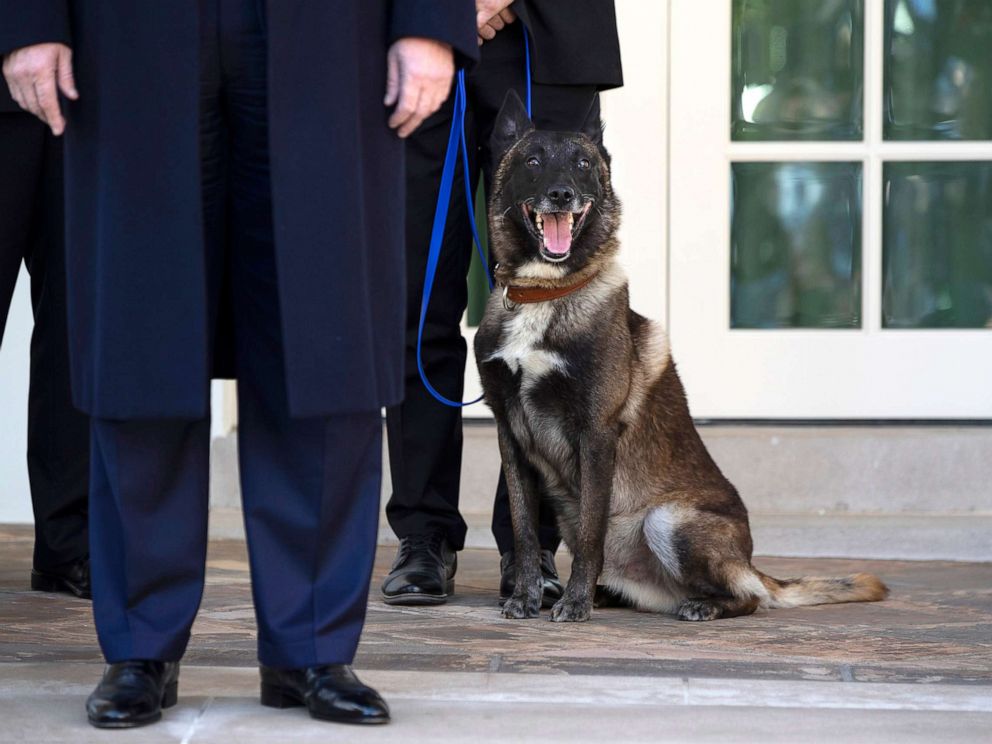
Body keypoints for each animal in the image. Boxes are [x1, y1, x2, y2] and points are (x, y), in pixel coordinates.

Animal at [476, 94, 888, 628]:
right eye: (532, 161)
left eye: (583, 163)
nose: (562, 194)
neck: (544, 292)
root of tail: (748, 563)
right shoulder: (510, 437)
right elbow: (525, 532)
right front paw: (526, 596)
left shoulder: (596, 433)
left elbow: (589, 534)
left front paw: (574, 603)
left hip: (668, 519)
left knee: (749, 598)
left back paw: (696, 605)